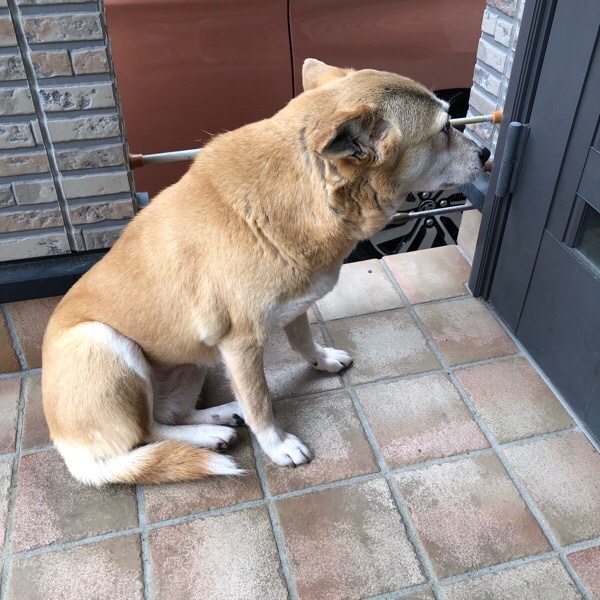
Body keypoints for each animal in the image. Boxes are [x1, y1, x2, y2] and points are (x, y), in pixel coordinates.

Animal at [42, 59, 489, 485]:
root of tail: (73, 452)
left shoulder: (295, 306)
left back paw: (220, 416)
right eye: (445, 128)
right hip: (104, 341)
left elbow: (303, 341)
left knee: (168, 416)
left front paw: (322, 360)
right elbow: (261, 403)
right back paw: (210, 434)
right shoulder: (241, 344)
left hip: (193, 365)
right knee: (145, 432)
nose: (486, 153)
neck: (304, 193)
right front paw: (277, 446)